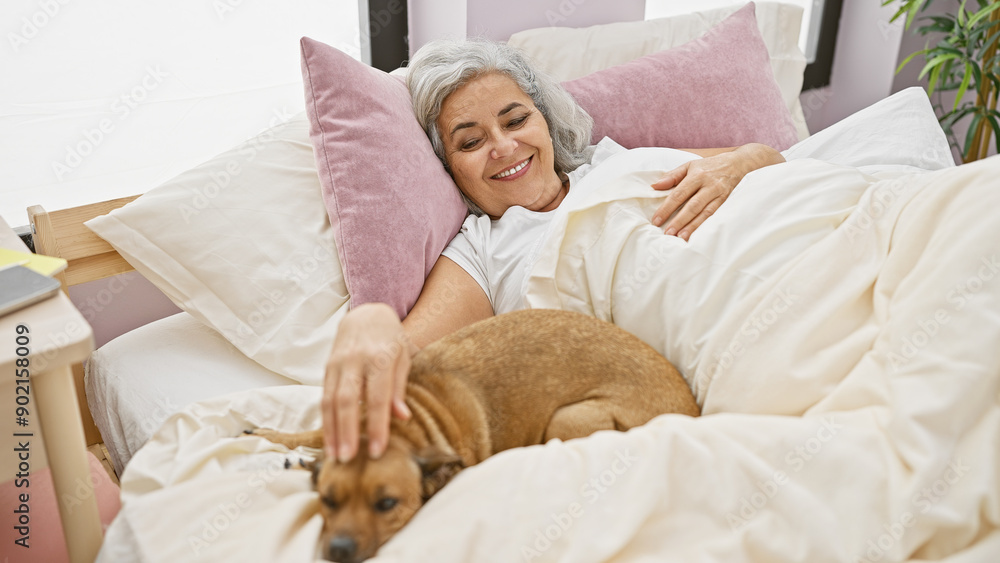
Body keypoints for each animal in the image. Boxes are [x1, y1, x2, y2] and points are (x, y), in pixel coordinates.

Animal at [254, 310, 700, 560]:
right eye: (327, 501)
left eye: (387, 504)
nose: (339, 551)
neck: (405, 423)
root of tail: (692, 412)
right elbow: (311, 432)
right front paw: (283, 441)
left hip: (568, 418)